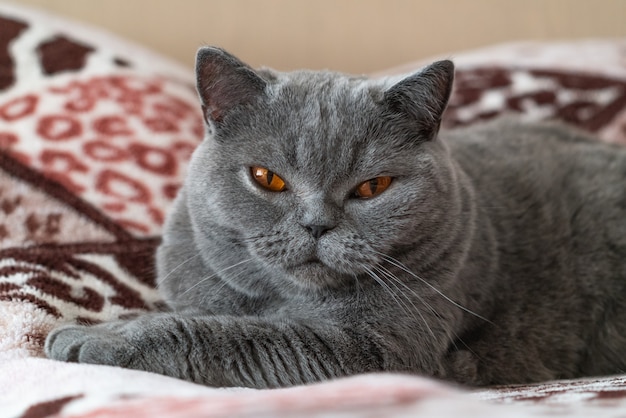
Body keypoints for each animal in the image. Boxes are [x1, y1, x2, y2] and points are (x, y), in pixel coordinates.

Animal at [45, 46, 624, 388]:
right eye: (267, 178)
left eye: (373, 187)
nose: (317, 225)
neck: (282, 300)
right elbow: (199, 317)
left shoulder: (379, 350)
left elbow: (222, 334)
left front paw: (96, 339)